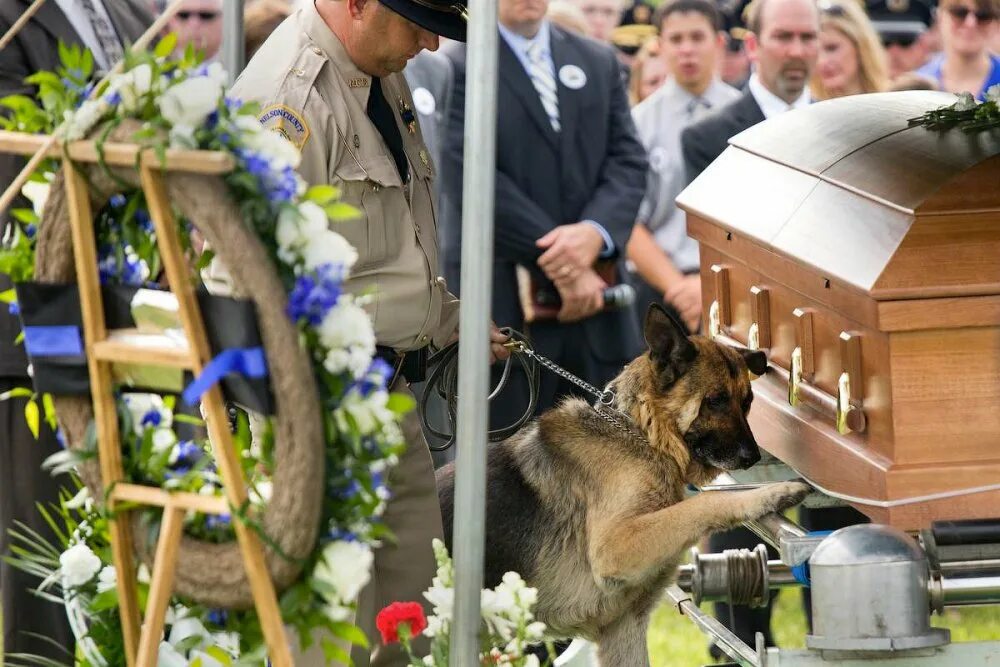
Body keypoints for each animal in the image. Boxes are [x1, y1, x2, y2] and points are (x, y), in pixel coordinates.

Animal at [438, 306, 812, 664]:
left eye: (747, 402)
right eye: (716, 400)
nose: (752, 456)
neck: (640, 433)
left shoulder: (624, 628)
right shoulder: (617, 546)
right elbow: (702, 503)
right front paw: (772, 493)